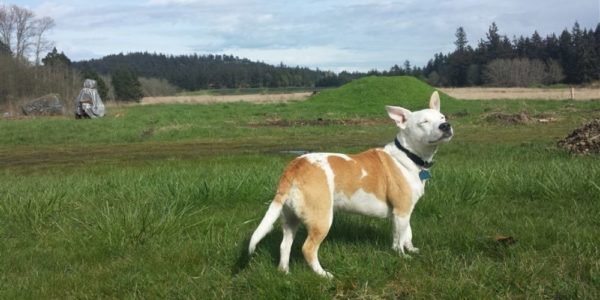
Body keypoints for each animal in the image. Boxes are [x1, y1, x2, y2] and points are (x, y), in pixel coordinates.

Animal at [247, 92, 450, 278]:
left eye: (442, 117)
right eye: (424, 122)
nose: (446, 126)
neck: (408, 155)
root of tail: (295, 166)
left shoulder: (403, 212)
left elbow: (406, 233)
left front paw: (410, 249)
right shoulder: (402, 210)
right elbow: (400, 238)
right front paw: (402, 256)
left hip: (290, 219)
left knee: (284, 246)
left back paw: (285, 272)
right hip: (322, 219)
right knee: (308, 249)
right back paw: (323, 274)